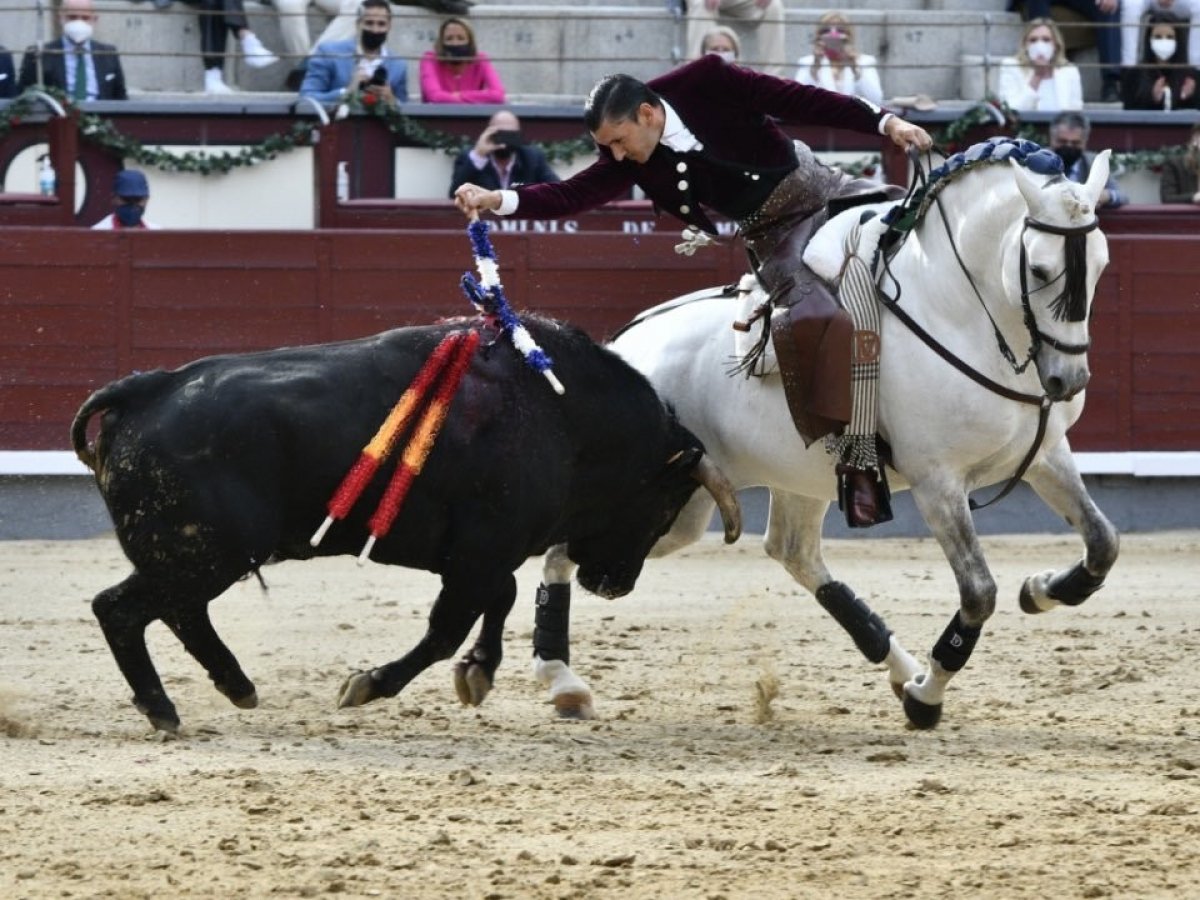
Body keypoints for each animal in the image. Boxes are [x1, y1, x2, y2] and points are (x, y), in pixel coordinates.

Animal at [75, 316, 739, 734]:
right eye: (663, 504)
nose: (614, 583)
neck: (564, 413)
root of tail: (148, 387)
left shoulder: (475, 554)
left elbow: (499, 599)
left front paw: (478, 672)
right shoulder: (479, 553)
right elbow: (449, 626)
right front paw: (369, 684)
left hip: (199, 555)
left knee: (177, 612)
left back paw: (236, 686)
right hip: (205, 552)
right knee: (122, 609)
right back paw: (164, 708)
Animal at [530, 142, 1118, 734]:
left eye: (1102, 263)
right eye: (1040, 269)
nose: (1069, 381)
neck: (958, 313)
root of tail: (622, 346)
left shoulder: (1046, 456)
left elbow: (1102, 544)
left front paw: (1039, 591)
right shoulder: (937, 482)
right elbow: (979, 593)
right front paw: (927, 699)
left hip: (767, 484)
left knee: (793, 552)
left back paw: (898, 665)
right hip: (659, 509)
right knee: (563, 549)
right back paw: (560, 679)